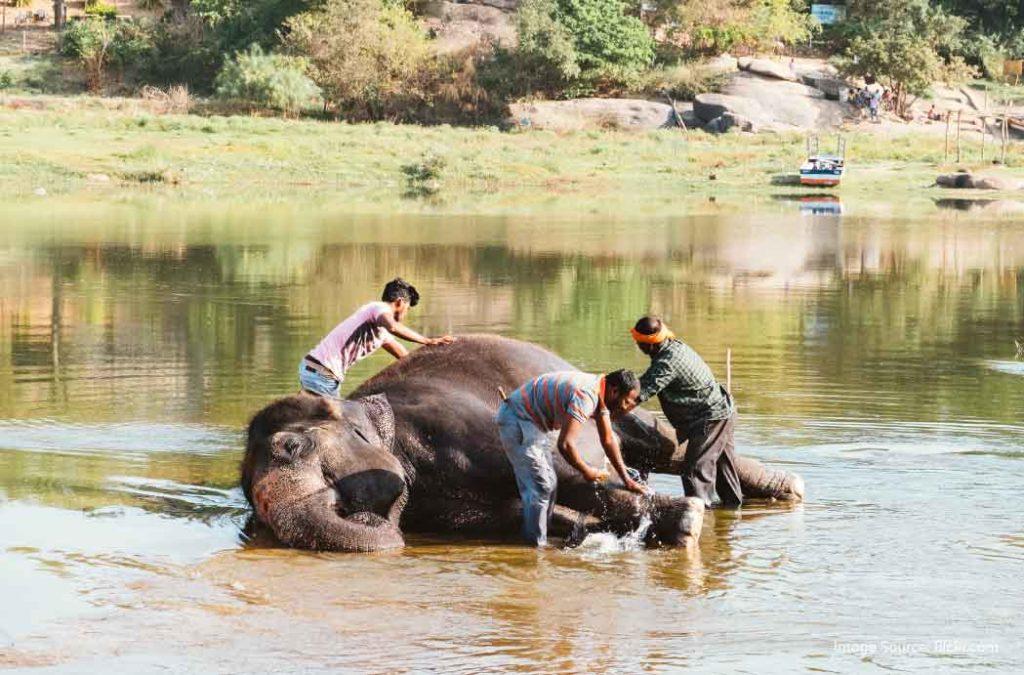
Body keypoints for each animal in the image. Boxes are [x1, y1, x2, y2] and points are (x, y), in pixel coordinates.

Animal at [243, 335, 802, 553]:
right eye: (250, 499)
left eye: (291, 449)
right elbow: (519, 512)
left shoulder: (461, 420)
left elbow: (566, 468)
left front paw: (686, 521)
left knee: (659, 442)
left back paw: (784, 487)